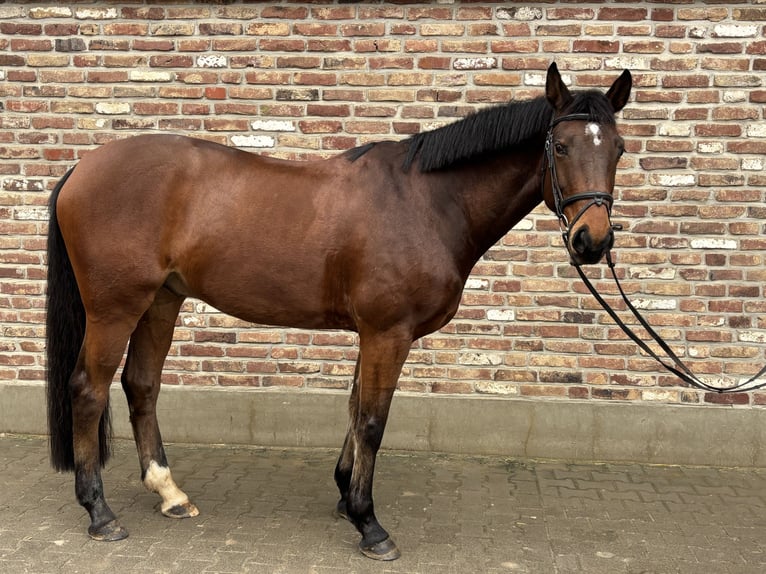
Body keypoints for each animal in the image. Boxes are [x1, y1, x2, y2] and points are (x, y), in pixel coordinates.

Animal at [45, 62, 631, 560]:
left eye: (620, 150)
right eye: (560, 146)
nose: (592, 241)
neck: (427, 202)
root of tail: (82, 167)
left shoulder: (372, 333)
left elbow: (354, 410)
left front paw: (346, 495)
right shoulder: (387, 333)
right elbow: (372, 420)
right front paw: (369, 523)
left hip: (161, 301)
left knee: (141, 385)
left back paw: (169, 492)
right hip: (115, 308)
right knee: (89, 389)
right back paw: (99, 513)